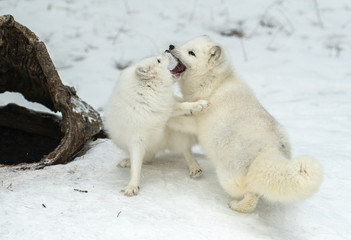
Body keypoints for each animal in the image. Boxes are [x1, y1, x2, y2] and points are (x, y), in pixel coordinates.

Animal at [104, 51, 209, 196]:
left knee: (186, 151)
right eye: (158, 61)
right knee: (147, 159)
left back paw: (195, 167)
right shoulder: (136, 141)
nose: (167, 50)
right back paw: (127, 161)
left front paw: (199, 104)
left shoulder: (166, 109)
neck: (147, 94)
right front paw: (132, 186)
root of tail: (160, 146)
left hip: (176, 135)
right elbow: (136, 167)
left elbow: (183, 105)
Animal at [168, 35, 324, 212]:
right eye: (185, 44)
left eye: (191, 53)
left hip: (228, 176)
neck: (215, 84)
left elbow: (175, 118)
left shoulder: (196, 124)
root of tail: (271, 149)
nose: (171, 46)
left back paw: (235, 205)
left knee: (250, 199)